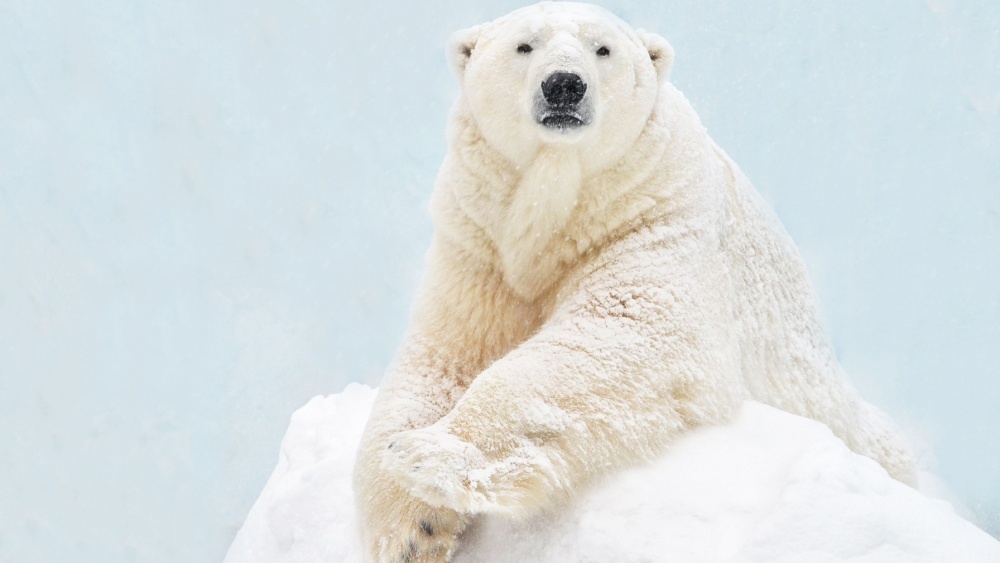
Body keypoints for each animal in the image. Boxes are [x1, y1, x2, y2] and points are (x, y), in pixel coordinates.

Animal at [353, 3, 917, 562]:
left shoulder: (651, 210)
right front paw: (410, 527)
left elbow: (629, 327)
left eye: (602, 48)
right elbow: (446, 359)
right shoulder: (481, 245)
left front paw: (427, 454)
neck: (559, 211)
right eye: (524, 45)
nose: (564, 85)